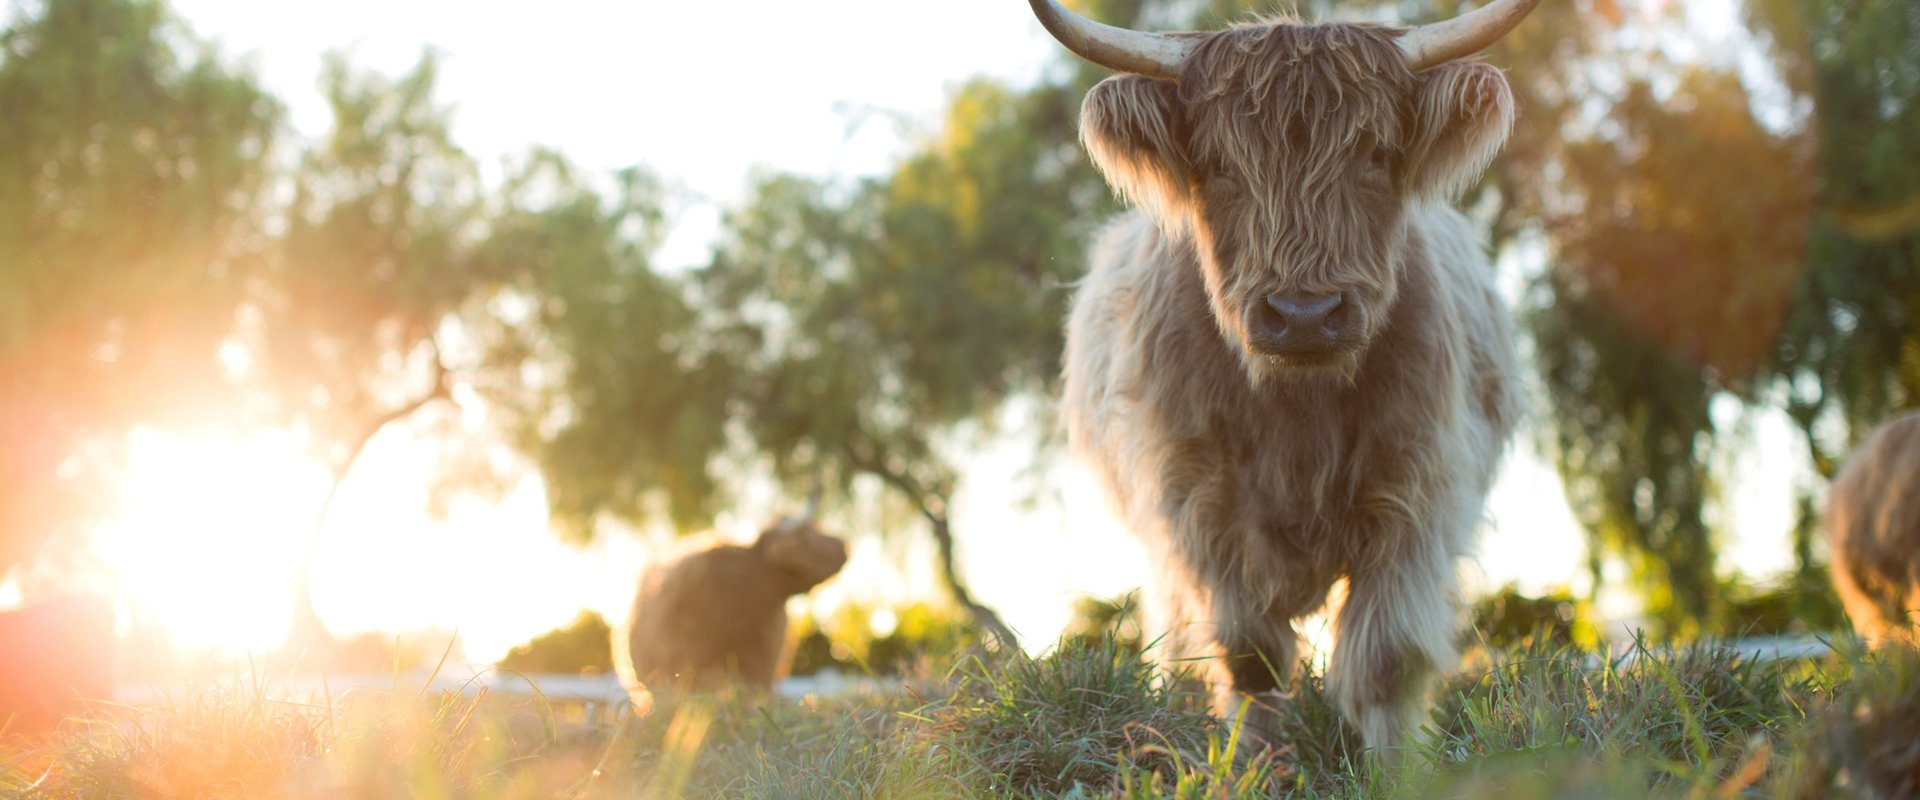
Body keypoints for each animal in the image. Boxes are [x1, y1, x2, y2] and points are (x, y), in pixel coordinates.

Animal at [1036, 0, 1528, 748]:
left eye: (1375, 153)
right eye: (1218, 164)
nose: (1303, 316)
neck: (1297, 411)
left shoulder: (1418, 489)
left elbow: (1386, 659)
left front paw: (1394, 766)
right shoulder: (1197, 502)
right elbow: (1249, 655)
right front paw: (1255, 759)